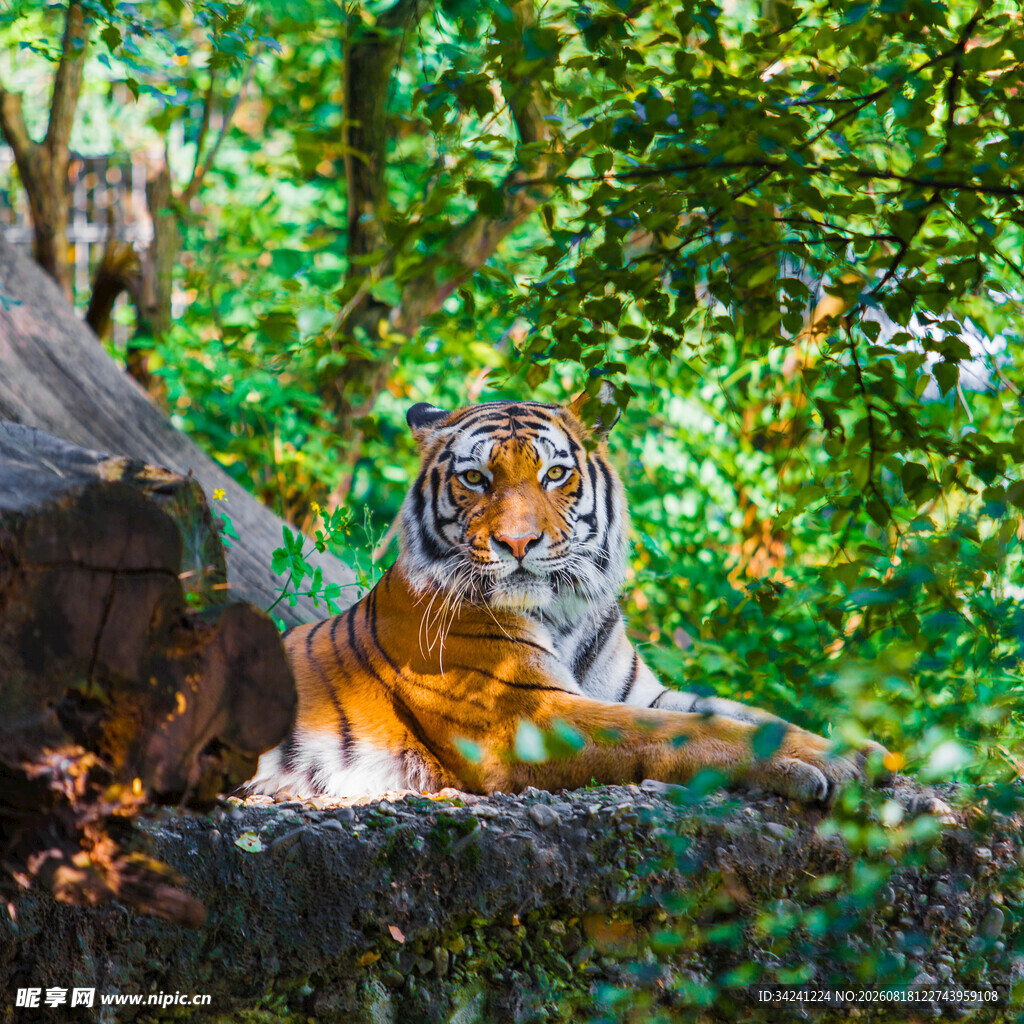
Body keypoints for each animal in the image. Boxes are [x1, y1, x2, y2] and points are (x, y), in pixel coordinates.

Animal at [248, 396, 887, 803]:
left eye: (555, 474)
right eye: (475, 479)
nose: (517, 542)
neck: (564, 613)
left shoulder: (637, 692)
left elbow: (742, 714)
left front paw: (859, 752)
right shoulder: (530, 715)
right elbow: (686, 733)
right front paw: (814, 766)